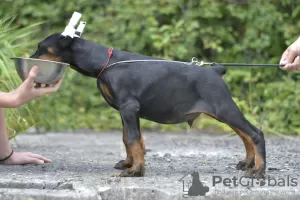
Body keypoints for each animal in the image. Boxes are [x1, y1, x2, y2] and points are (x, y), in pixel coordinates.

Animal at [29, 32, 264, 178]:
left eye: (41, 47)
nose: (29, 61)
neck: (105, 63)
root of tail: (215, 70)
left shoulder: (129, 107)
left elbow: (133, 139)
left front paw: (136, 171)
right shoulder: (125, 111)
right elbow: (129, 139)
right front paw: (130, 164)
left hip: (223, 107)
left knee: (255, 133)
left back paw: (258, 170)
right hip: (222, 110)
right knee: (245, 134)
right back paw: (248, 163)